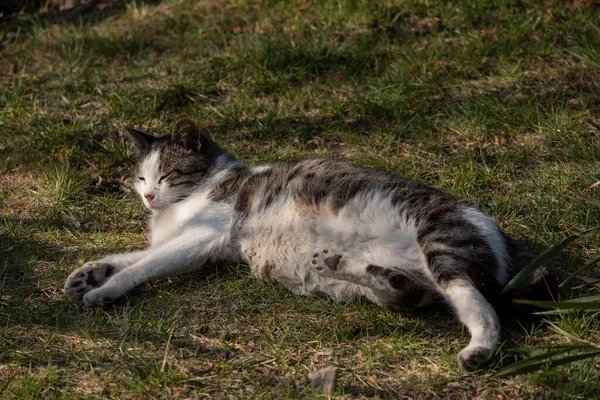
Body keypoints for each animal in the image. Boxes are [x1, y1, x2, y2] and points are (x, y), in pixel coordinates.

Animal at [63, 119, 552, 372]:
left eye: (164, 176)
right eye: (139, 177)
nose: (147, 195)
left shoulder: (206, 235)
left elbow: (144, 265)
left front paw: (105, 289)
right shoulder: (187, 241)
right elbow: (136, 255)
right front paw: (89, 272)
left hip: (442, 240)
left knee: (475, 304)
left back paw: (478, 349)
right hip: (401, 282)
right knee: (405, 289)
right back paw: (337, 263)